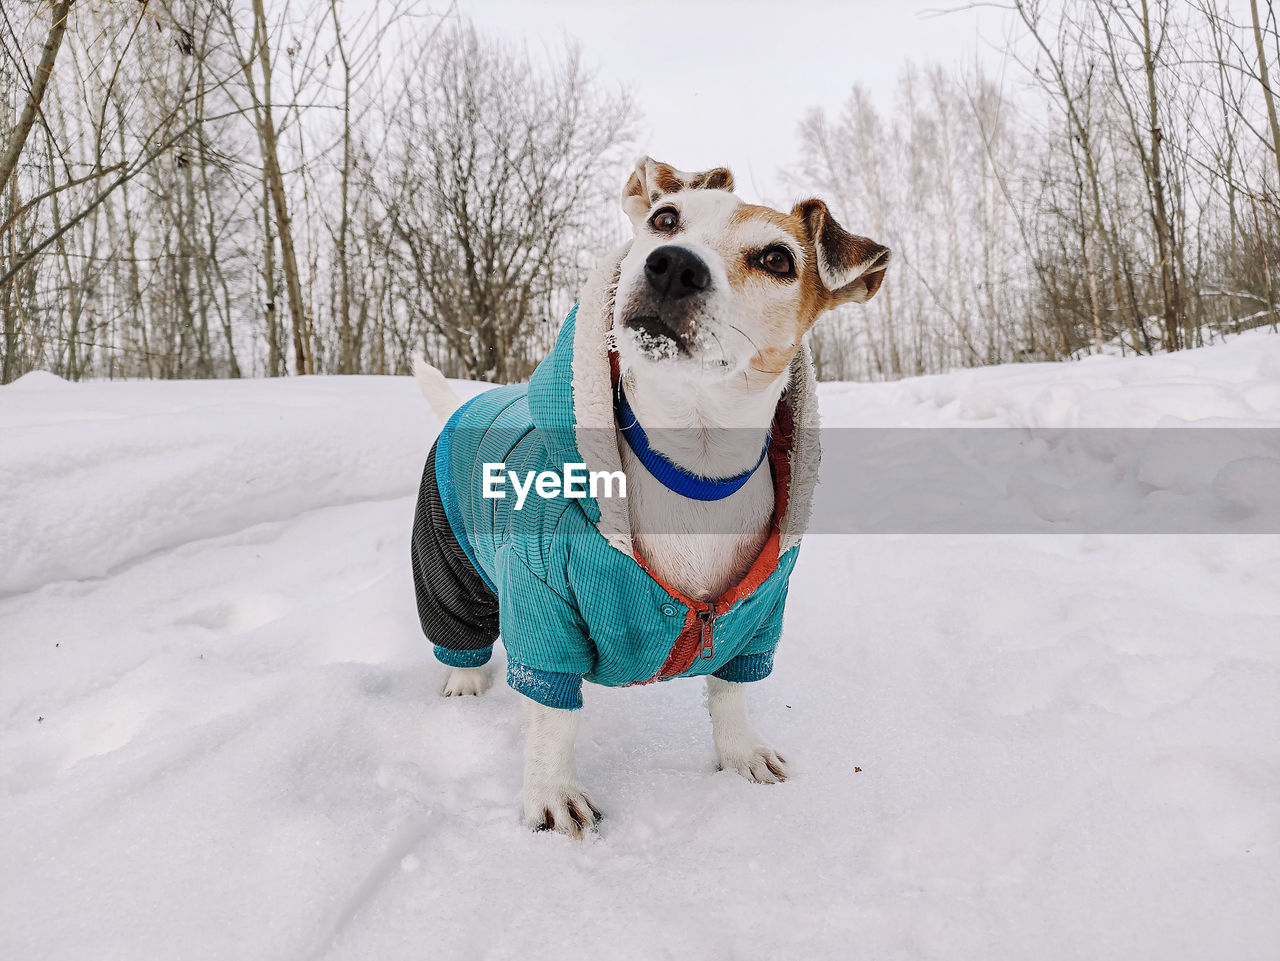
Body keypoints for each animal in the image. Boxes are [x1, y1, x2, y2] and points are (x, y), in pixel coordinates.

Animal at [409, 156, 890, 834]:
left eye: (777, 259)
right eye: (665, 219)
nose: (673, 264)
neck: (692, 467)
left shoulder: (758, 617)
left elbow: (731, 692)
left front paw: (741, 755)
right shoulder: (540, 596)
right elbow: (553, 717)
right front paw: (553, 792)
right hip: (446, 559)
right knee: (461, 633)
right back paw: (464, 683)